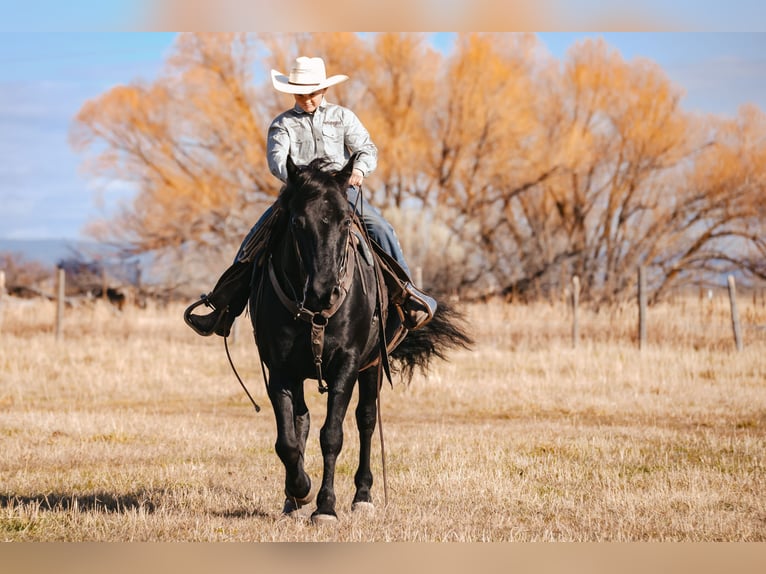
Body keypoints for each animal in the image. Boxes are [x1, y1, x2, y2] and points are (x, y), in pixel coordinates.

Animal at [250, 153, 472, 524]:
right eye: (297, 221)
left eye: (344, 222)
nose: (325, 291)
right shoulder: (278, 369)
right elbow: (288, 440)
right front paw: (299, 490)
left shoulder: (348, 364)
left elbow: (333, 435)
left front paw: (326, 506)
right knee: (302, 421)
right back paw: (292, 501)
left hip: (372, 368)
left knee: (366, 420)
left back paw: (363, 496)